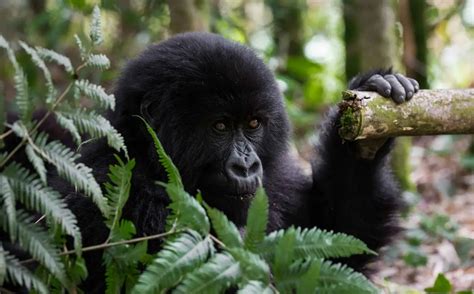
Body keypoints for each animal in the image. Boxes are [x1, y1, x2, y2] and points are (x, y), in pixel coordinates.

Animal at [57, 31, 416, 290]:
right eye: (220, 127)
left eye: (253, 124)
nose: (246, 166)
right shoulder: (120, 191)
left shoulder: (278, 177)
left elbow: (338, 242)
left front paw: (367, 135)